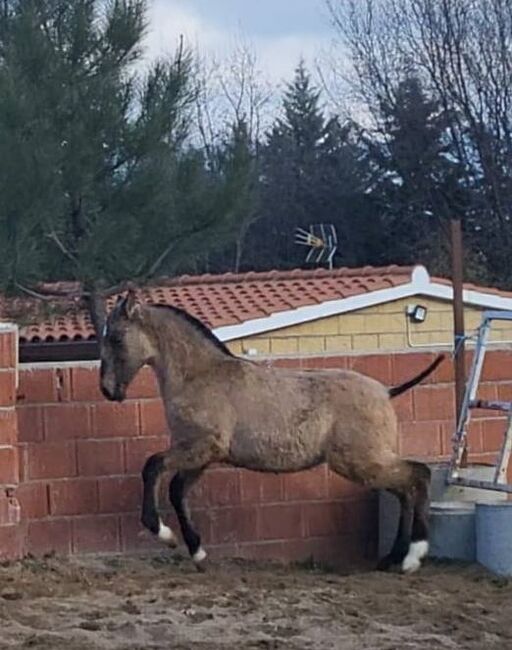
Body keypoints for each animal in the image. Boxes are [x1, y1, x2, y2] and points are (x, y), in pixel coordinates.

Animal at [100, 290, 444, 572]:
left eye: (115, 337)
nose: (108, 390)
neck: (200, 376)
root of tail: (385, 391)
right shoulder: (200, 456)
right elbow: (177, 491)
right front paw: (197, 552)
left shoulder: (201, 447)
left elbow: (153, 466)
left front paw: (163, 533)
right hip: (369, 462)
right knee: (405, 490)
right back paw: (391, 558)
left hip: (360, 461)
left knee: (418, 475)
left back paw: (413, 557)